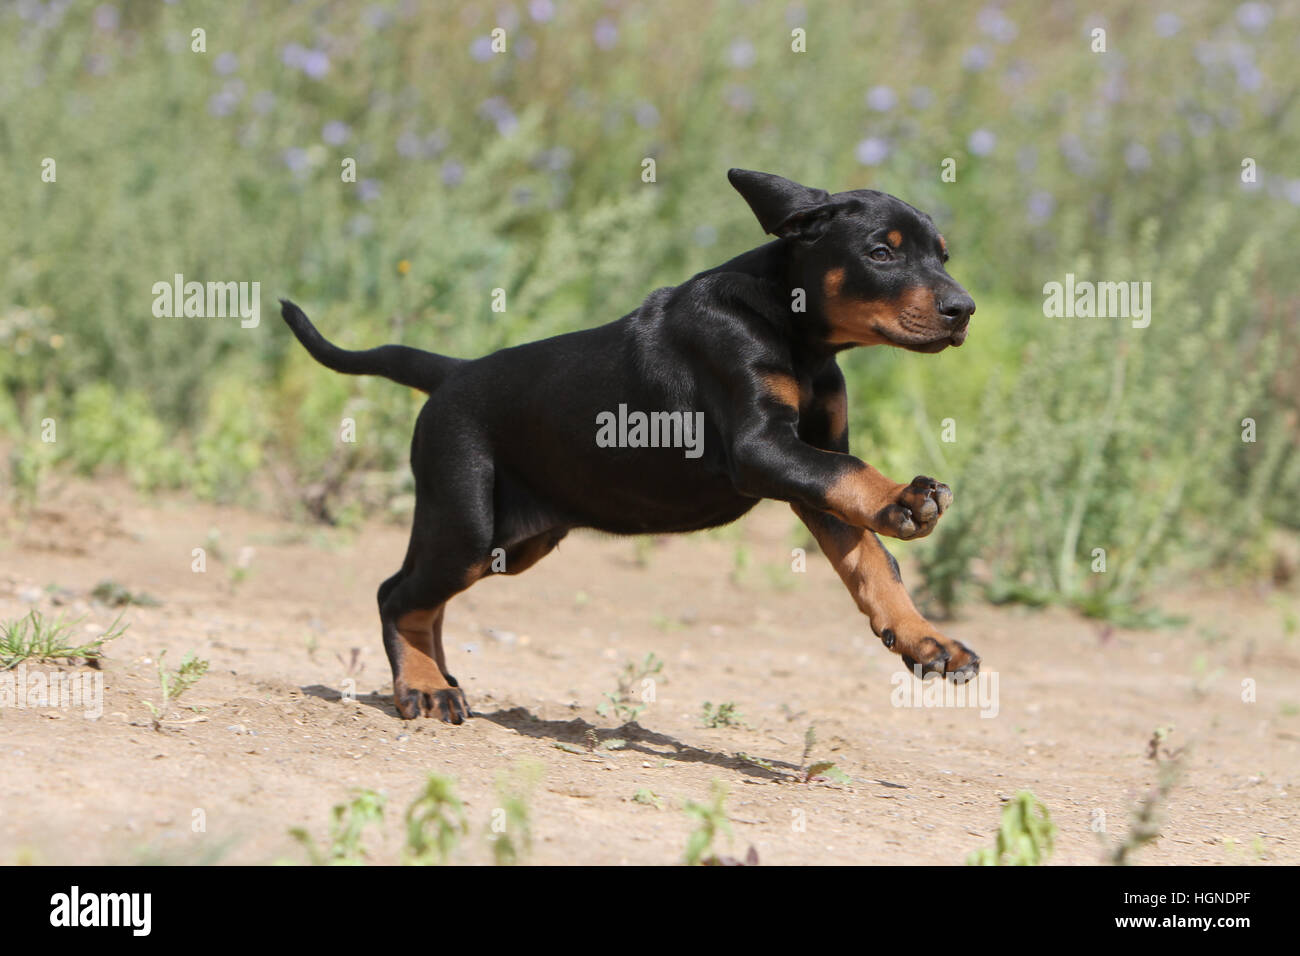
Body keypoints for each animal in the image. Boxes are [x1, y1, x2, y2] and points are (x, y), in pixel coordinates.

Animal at [282, 167, 977, 723]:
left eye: (944, 256)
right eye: (880, 253)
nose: (963, 309)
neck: (797, 332)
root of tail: (452, 372)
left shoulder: (810, 466)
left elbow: (870, 560)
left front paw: (926, 642)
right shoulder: (761, 448)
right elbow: (854, 476)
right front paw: (903, 498)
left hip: (511, 543)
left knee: (426, 599)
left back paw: (440, 681)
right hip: (467, 521)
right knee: (396, 594)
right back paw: (423, 687)